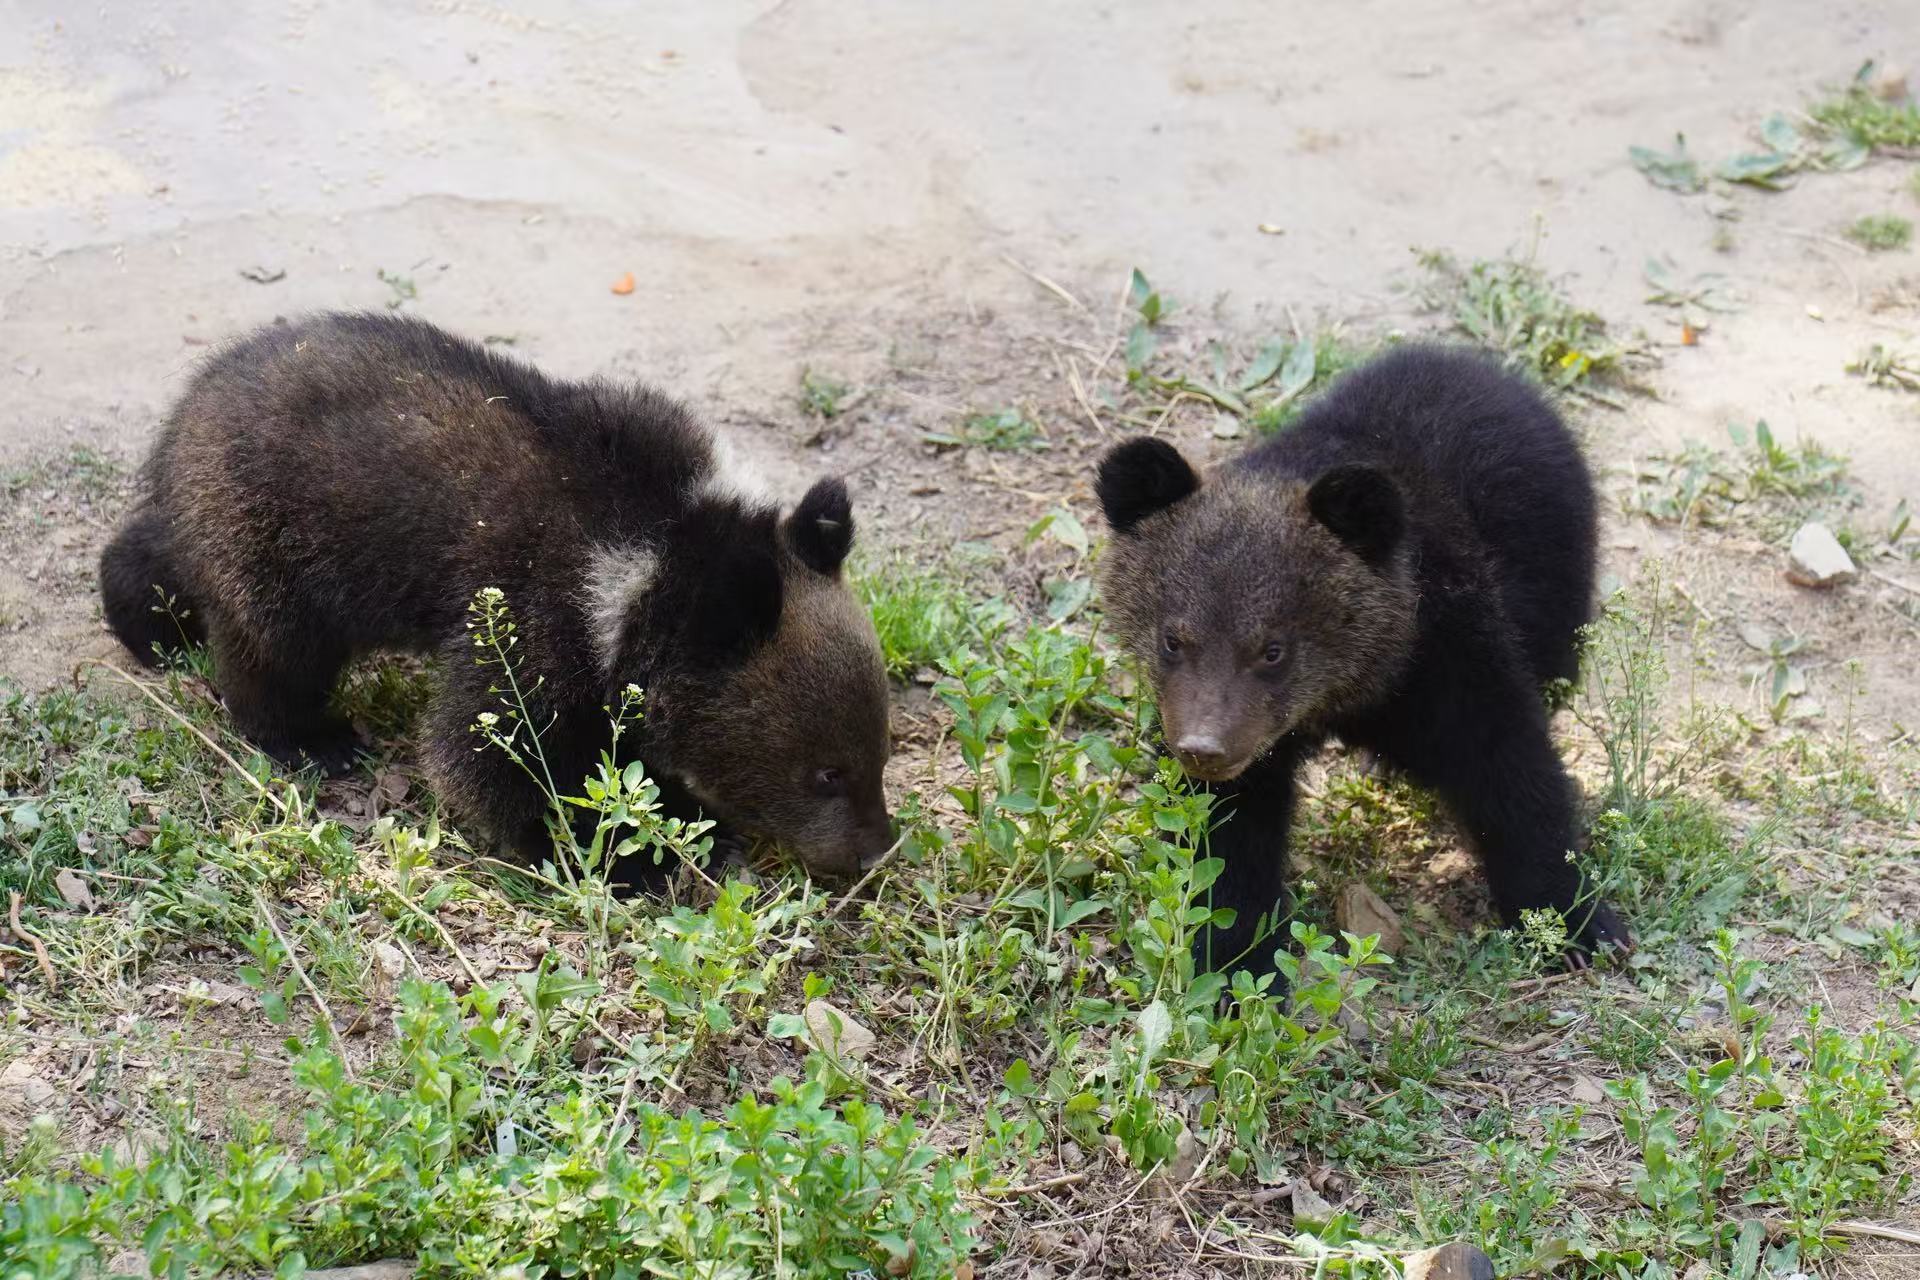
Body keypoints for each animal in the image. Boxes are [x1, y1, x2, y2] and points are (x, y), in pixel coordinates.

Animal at [100, 312, 894, 883]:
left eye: (879, 752)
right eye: (827, 772)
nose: (876, 852)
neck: (656, 558)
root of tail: (193, 400)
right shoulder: (533, 614)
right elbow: (489, 754)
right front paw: (622, 853)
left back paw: (147, 621)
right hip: (277, 542)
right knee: (271, 649)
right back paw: (310, 737)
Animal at [1095, 343, 1630, 976]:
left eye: (1273, 649)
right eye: (1172, 639)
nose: (1204, 749)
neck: (1356, 687)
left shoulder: (1450, 654)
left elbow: (1509, 768)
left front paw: (1575, 921)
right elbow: (1225, 838)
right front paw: (1235, 962)